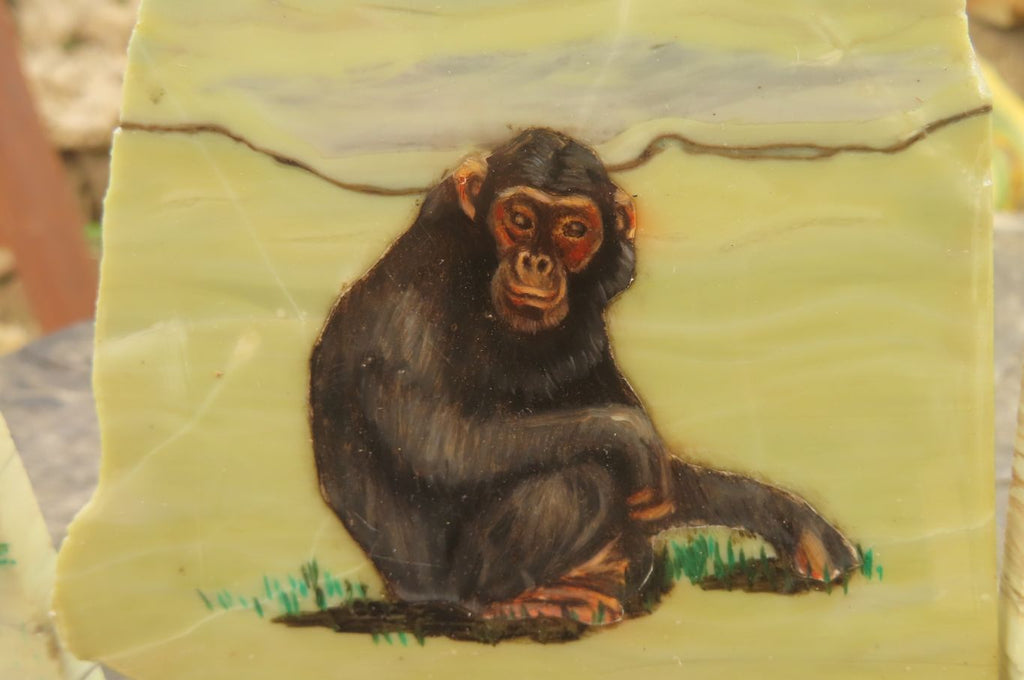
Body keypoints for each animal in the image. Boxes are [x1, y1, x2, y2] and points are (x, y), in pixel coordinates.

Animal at [309, 127, 860, 628]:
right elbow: (438, 442)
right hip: (440, 583)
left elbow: (663, 485)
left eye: (573, 229)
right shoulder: (410, 303)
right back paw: (513, 600)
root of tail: (406, 590)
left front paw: (796, 522)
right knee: (581, 481)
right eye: (520, 219)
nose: (536, 261)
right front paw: (628, 436)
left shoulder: (591, 327)